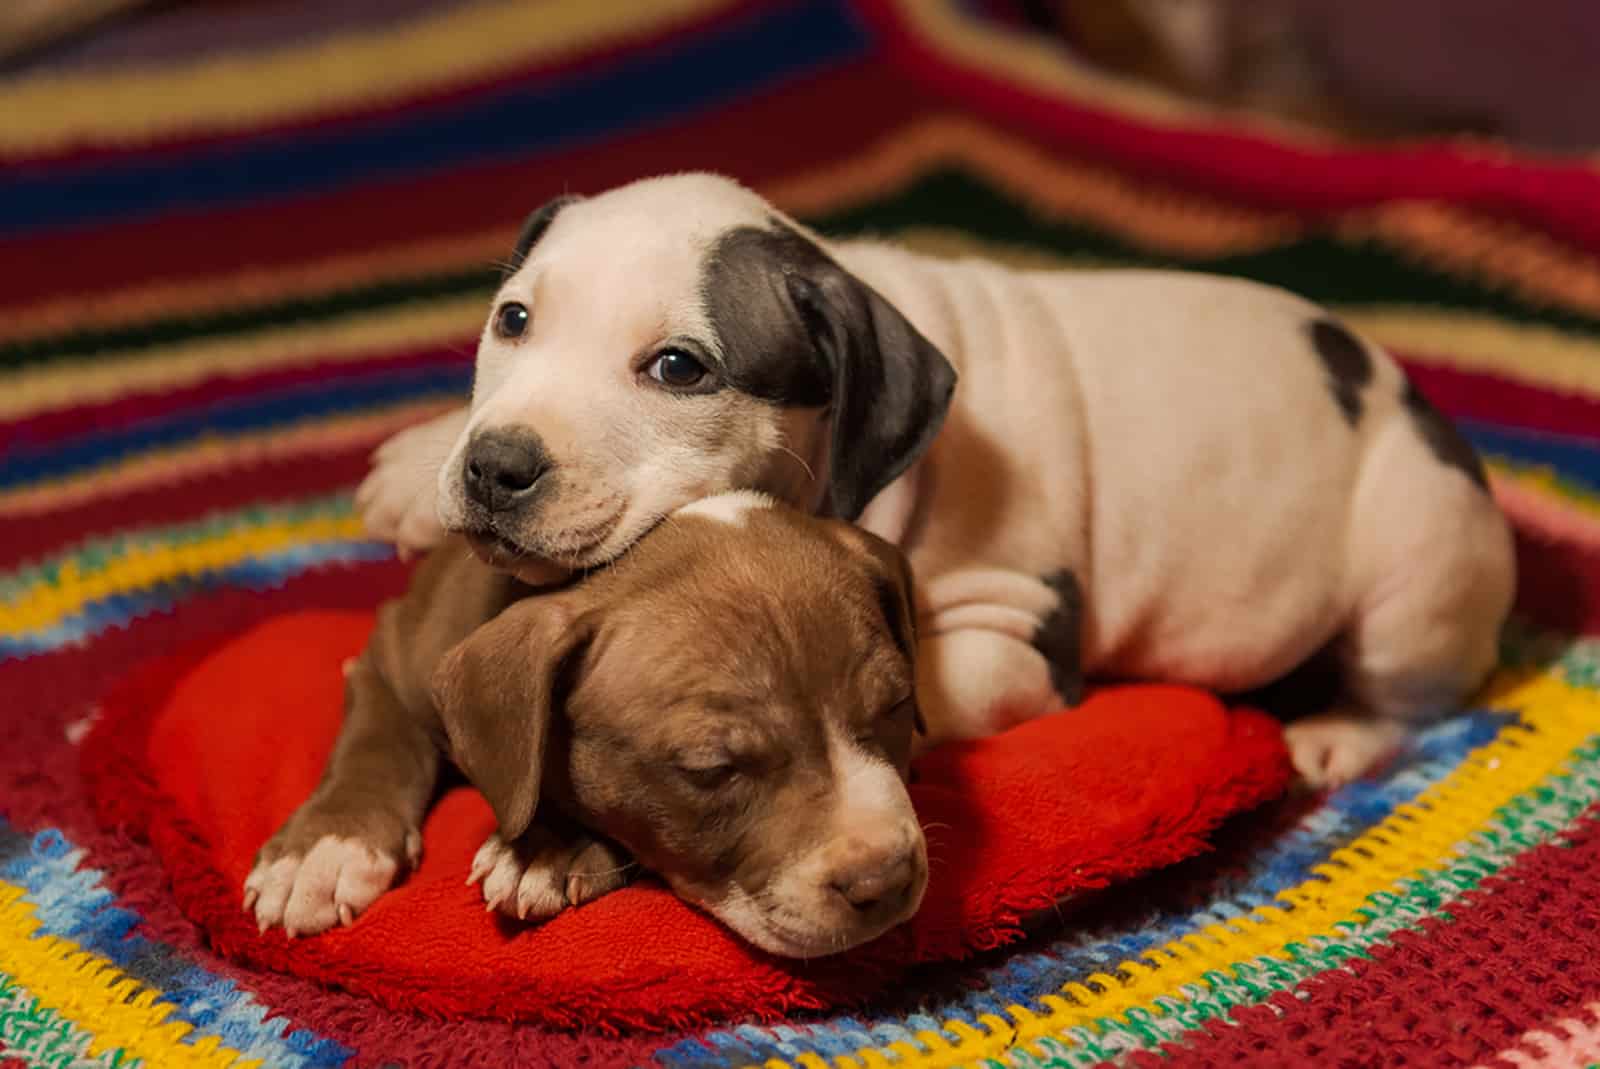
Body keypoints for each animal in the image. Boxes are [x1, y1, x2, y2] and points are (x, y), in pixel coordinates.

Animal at [243, 492, 934, 960]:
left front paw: (550, 849)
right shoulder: (391, 655)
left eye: (897, 706)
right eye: (711, 771)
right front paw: (323, 848)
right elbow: (373, 743)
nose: (886, 879)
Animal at [356, 171, 1516, 780]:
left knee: (1412, 689)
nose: (498, 466)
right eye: (512, 320)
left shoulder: (1018, 625)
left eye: (680, 368)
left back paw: (1336, 736)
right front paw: (418, 463)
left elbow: (935, 683)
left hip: (1417, 563)